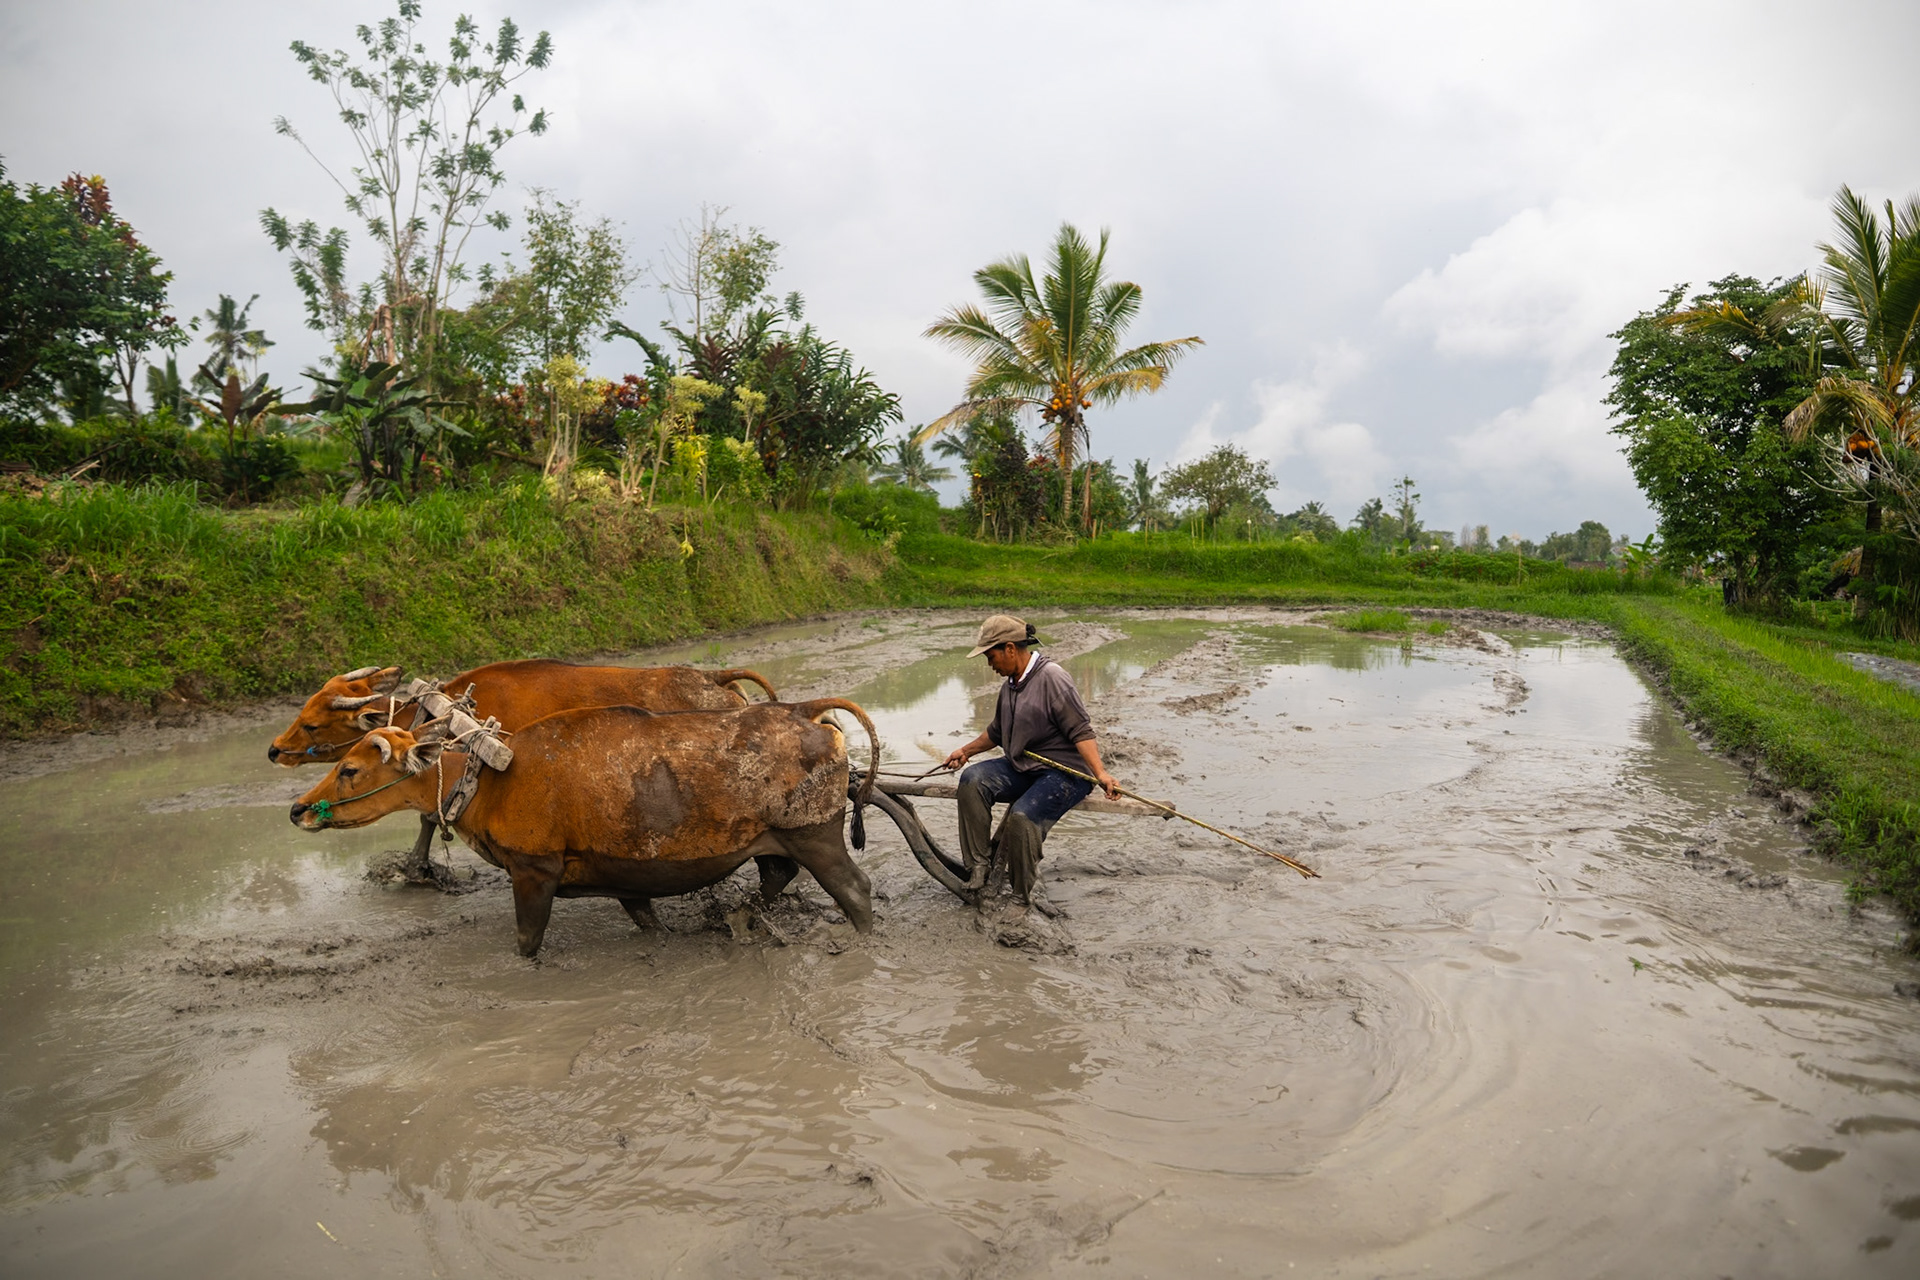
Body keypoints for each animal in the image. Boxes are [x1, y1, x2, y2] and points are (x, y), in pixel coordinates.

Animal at [268, 659, 781, 880]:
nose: (273, 750)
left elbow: (428, 816)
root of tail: (711, 677)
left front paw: (415, 869)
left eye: (312, 723)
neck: (453, 709)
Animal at [288, 698, 880, 957]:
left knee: (856, 889)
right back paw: (741, 916)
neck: (487, 778)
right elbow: (647, 919)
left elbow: (527, 942)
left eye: (349, 769)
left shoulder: (533, 871)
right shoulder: (627, 877)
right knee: (775, 875)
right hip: (772, 841)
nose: (298, 809)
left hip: (815, 835)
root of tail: (813, 719)